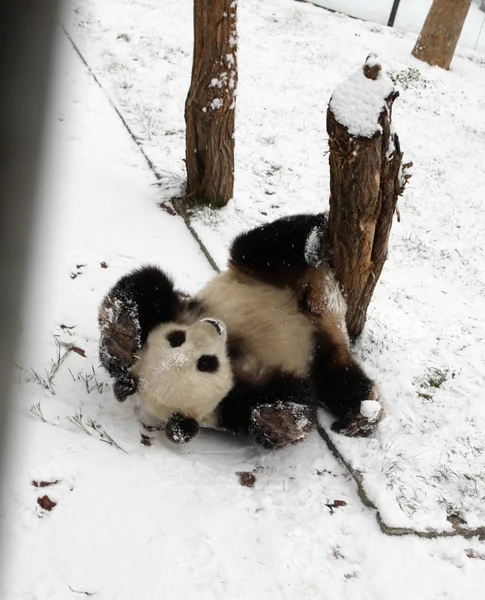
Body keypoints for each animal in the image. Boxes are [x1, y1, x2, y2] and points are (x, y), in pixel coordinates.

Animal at [98, 213, 384, 448]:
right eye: (206, 363)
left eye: (176, 338)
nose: (212, 325)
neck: (233, 351)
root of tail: (325, 305)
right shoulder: (233, 405)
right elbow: (297, 402)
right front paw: (274, 422)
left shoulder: (183, 310)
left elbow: (145, 286)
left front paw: (121, 336)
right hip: (320, 352)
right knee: (340, 379)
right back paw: (360, 415)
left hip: (257, 276)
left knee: (265, 245)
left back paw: (315, 237)